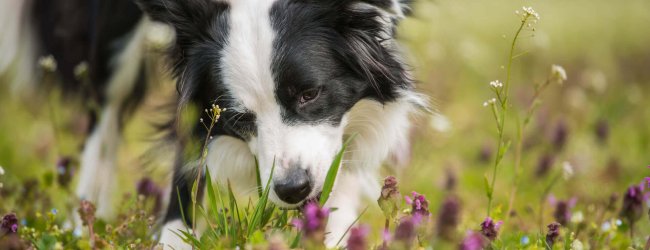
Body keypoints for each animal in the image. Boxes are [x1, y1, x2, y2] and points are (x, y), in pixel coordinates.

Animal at [3, 0, 426, 247]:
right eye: (239, 117)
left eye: (309, 93)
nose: (292, 190)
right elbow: (189, 151)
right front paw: (173, 237)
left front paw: (329, 230)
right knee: (104, 111)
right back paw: (83, 223)